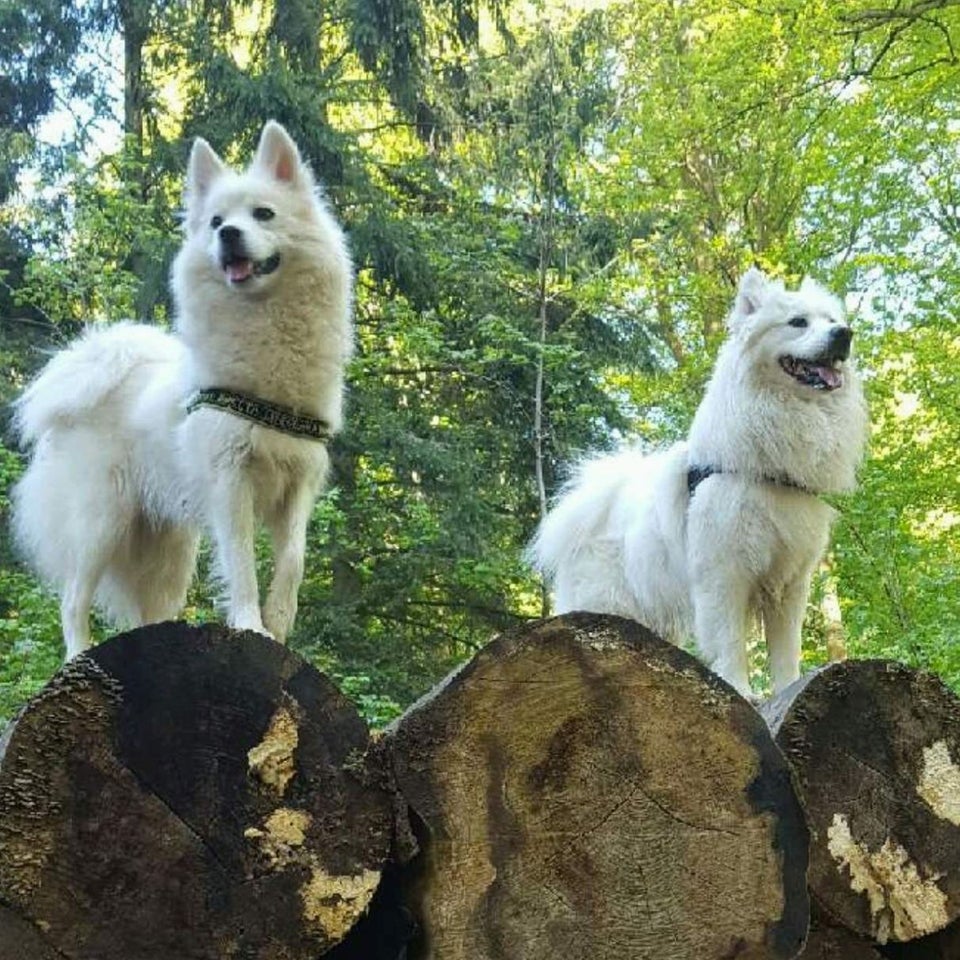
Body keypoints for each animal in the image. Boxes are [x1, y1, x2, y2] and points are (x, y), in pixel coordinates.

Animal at [12, 122, 352, 660]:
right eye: (215, 222)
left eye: (263, 213)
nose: (228, 235)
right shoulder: (230, 479)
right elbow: (241, 565)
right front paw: (252, 627)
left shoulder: (299, 479)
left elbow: (294, 560)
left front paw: (279, 625)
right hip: (100, 522)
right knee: (72, 600)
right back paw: (79, 656)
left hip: (168, 549)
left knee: (148, 611)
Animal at [528, 268, 872, 696]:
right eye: (798, 323)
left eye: (831, 320)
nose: (845, 334)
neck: (768, 467)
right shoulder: (723, 572)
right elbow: (730, 643)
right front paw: (741, 690)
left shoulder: (790, 582)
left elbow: (785, 651)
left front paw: (789, 690)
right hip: (608, 602)